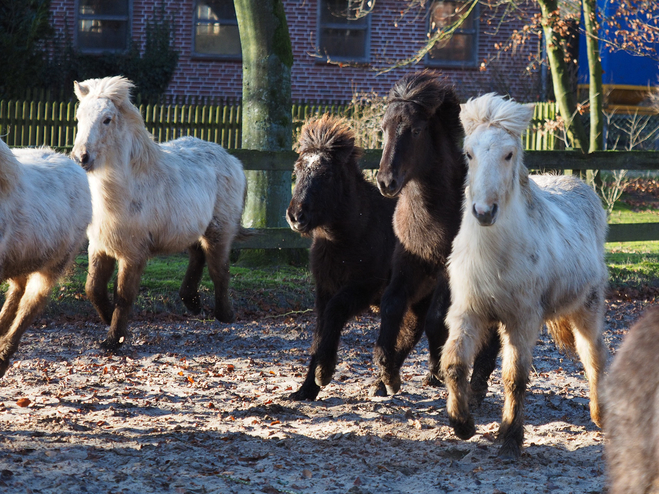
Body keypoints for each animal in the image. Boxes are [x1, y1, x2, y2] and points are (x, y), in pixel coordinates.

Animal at [71, 75, 248, 350]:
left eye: (107, 119)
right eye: (79, 117)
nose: (81, 158)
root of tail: (232, 160)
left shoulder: (133, 254)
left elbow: (124, 296)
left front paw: (113, 340)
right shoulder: (100, 246)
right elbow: (93, 289)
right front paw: (109, 320)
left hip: (219, 231)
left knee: (219, 270)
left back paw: (225, 315)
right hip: (192, 229)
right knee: (198, 257)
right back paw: (192, 303)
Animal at [288, 116, 404, 402]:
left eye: (327, 174)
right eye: (297, 169)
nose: (296, 216)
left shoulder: (364, 288)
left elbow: (335, 312)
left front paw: (324, 372)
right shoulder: (324, 289)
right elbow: (319, 334)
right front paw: (306, 389)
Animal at [440, 93, 612, 460]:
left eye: (508, 154)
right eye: (469, 153)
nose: (483, 212)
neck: (495, 255)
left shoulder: (521, 320)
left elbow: (514, 377)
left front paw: (509, 438)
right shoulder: (467, 312)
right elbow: (455, 364)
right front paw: (462, 424)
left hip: (587, 309)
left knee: (594, 356)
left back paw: (600, 414)